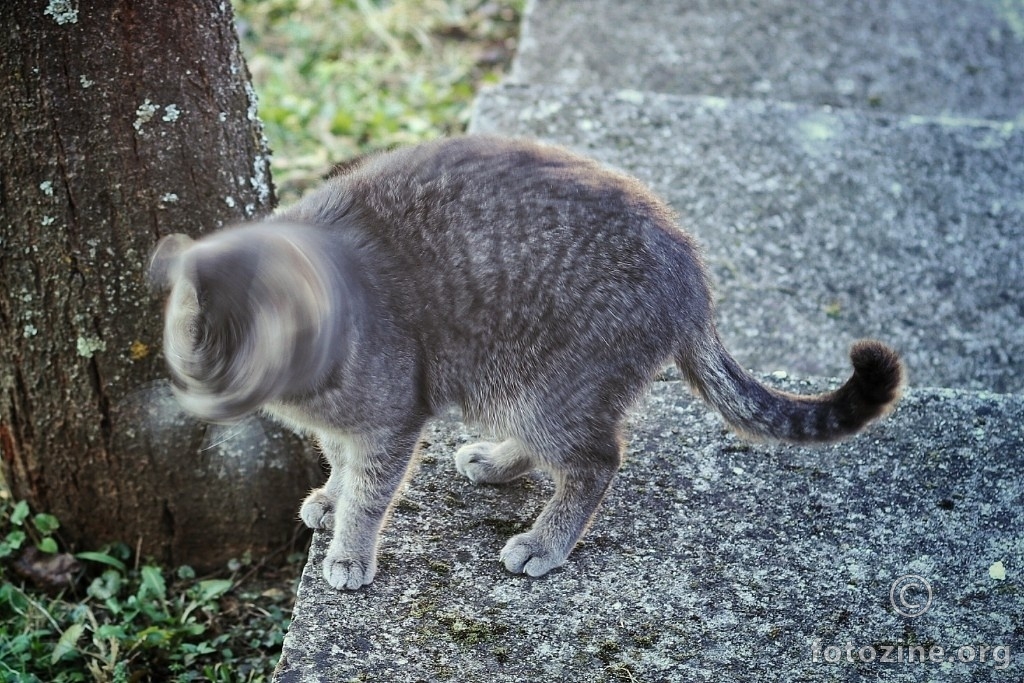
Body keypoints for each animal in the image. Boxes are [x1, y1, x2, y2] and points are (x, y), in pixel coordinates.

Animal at [148, 136, 901, 589]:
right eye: (195, 346)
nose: (213, 396)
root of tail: (692, 269)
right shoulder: (347, 424)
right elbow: (339, 461)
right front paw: (331, 494)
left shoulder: (392, 419)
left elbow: (370, 491)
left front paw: (349, 549)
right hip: (523, 391)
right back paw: (496, 461)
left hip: (546, 389)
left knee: (597, 461)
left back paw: (545, 540)